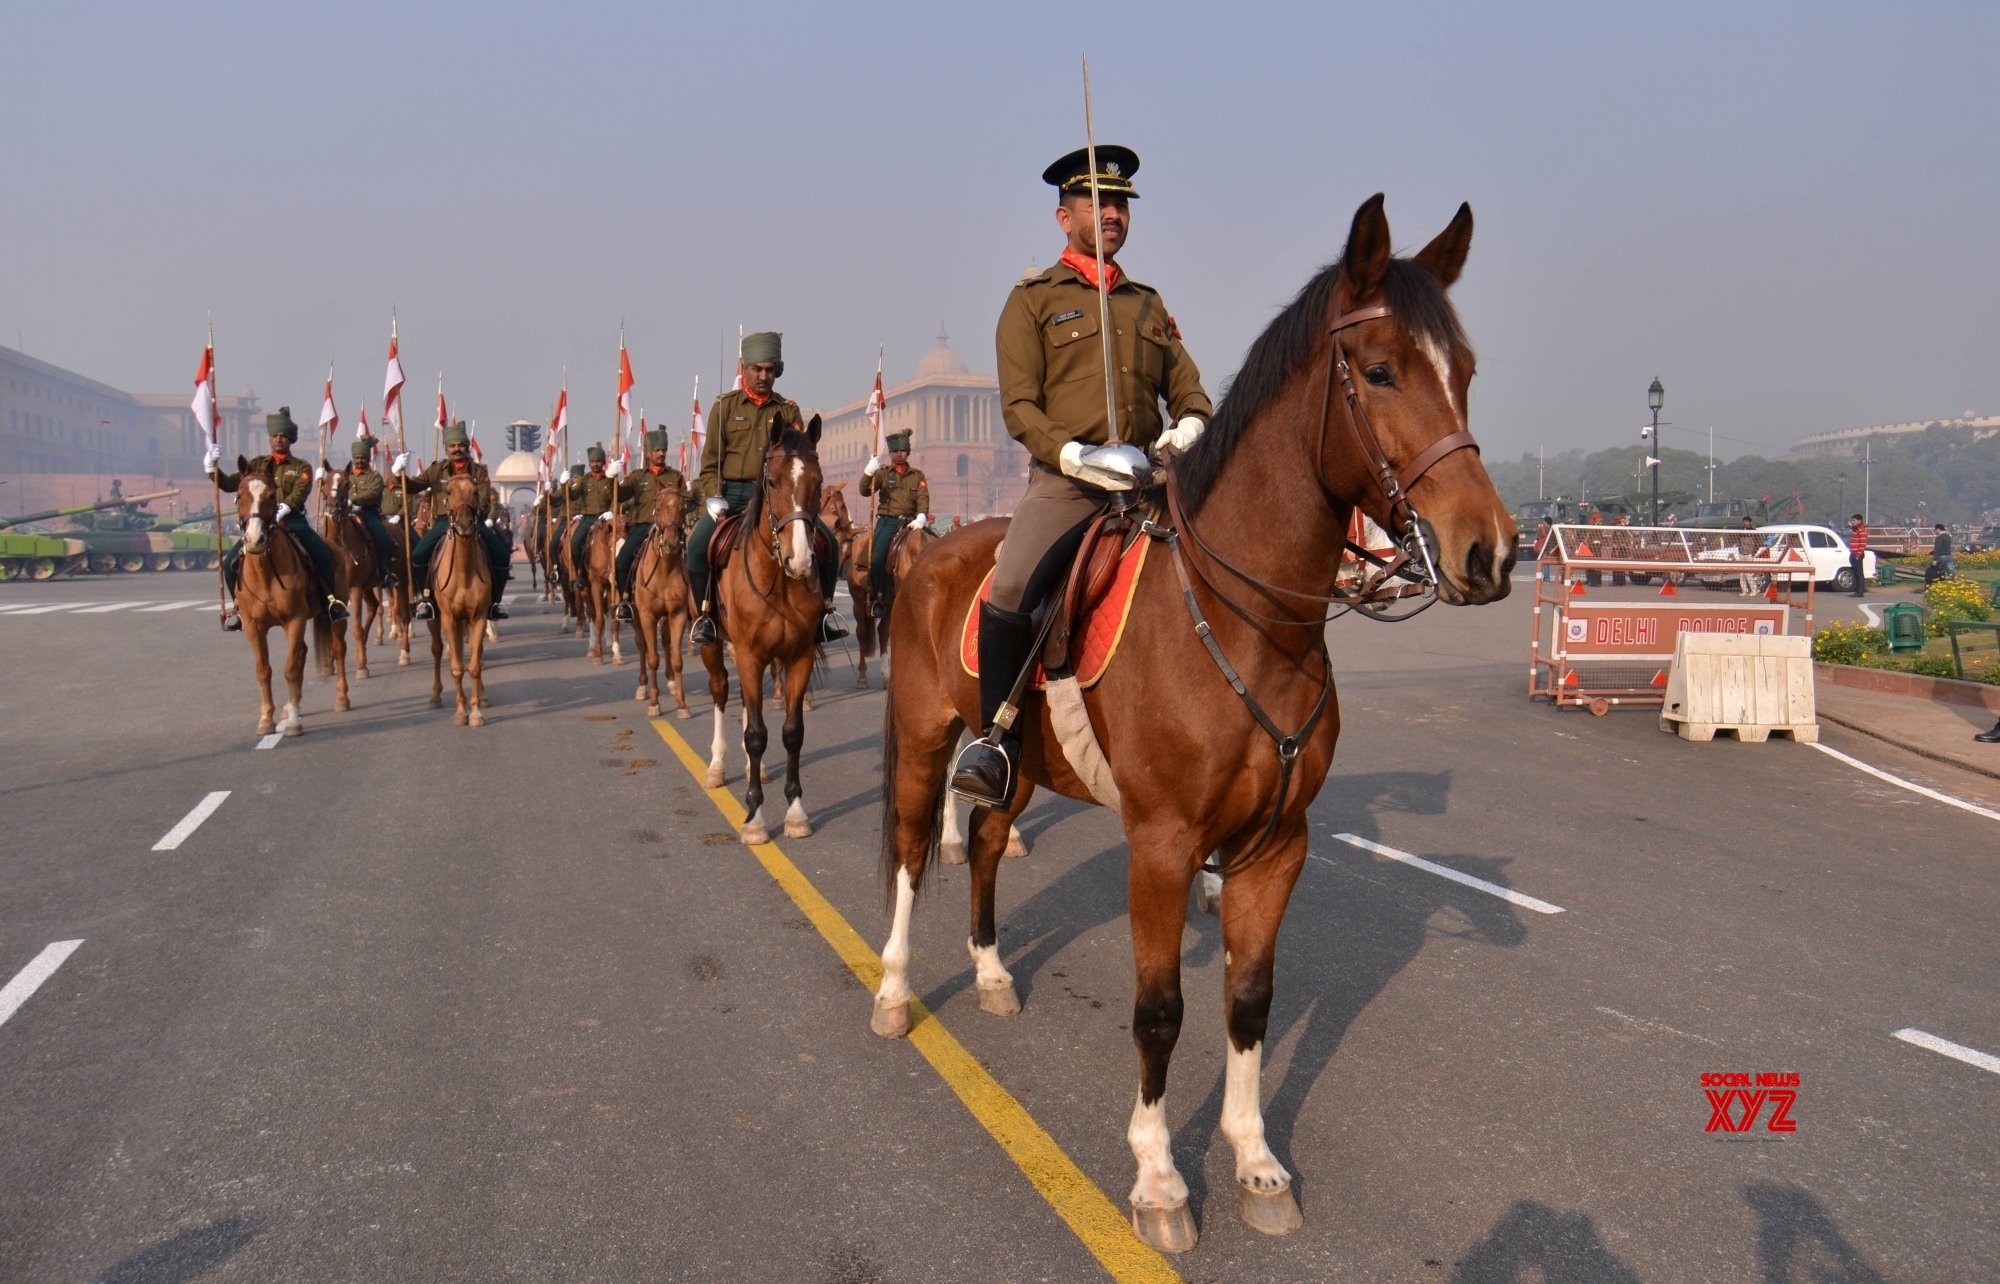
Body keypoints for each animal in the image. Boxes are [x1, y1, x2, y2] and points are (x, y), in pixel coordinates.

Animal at [232, 462, 350, 736]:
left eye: (271, 496)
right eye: (240, 495)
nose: (255, 540)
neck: (264, 573)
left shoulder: (294, 619)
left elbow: (291, 668)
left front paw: (294, 722)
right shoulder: (253, 626)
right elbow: (263, 670)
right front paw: (266, 719)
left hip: (337, 616)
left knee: (338, 649)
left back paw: (341, 699)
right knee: (303, 652)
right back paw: (289, 705)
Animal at [426, 472, 492, 728]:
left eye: (475, 491)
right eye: (449, 492)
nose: (464, 524)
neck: (464, 572)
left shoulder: (478, 617)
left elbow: (473, 665)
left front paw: (475, 712)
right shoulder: (448, 618)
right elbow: (456, 667)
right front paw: (461, 712)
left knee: (477, 654)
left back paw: (482, 696)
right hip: (435, 618)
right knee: (436, 649)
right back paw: (435, 696)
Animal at [632, 482, 696, 716]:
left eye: (682, 508)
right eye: (658, 508)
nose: (671, 543)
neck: (665, 570)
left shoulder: (677, 614)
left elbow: (677, 660)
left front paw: (682, 704)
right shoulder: (647, 615)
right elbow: (653, 658)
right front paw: (654, 703)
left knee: (666, 642)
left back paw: (671, 683)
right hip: (636, 616)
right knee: (642, 644)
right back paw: (642, 687)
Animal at [704, 416, 828, 844]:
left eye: (818, 482)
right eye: (772, 482)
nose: (801, 559)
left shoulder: (800, 656)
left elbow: (792, 732)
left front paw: (795, 812)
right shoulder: (748, 654)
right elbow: (757, 734)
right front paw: (755, 818)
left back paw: (747, 768)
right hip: (715, 646)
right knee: (721, 693)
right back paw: (717, 766)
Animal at [872, 198, 1512, 1248]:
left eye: (1463, 370)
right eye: (1380, 370)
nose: (1490, 551)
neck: (1248, 623)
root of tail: (932, 550)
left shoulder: (1276, 842)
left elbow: (1249, 1001)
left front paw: (1255, 1161)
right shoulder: (1164, 841)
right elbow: (1160, 1009)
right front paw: (1160, 1179)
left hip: (1018, 757)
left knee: (991, 836)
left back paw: (994, 972)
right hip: (926, 737)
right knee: (911, 851)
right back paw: (891, 989)